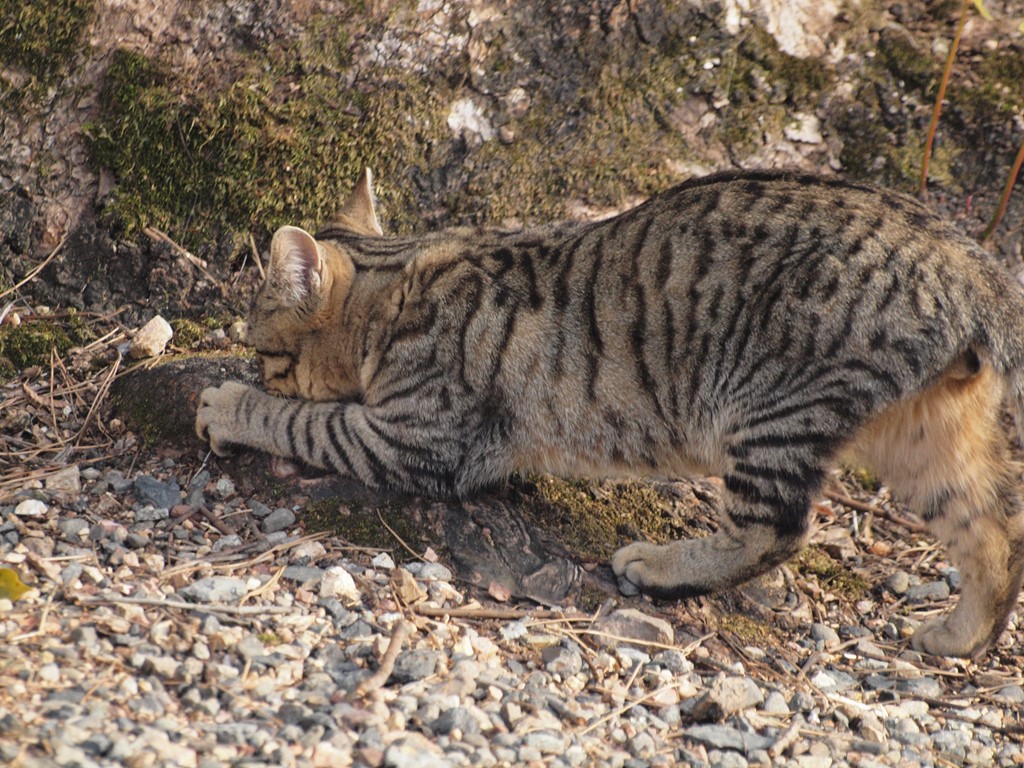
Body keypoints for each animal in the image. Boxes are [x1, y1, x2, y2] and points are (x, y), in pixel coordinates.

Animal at [197, 169, 1024, 663]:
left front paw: (230, 404)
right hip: (928, 440)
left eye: (262, 350)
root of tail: (972, 263)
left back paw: (661, 568)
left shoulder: (416, 440)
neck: (401, 280)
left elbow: (304, 420)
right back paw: (958, 636)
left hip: (771, 408)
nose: (248, 366)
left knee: (777, 529)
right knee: (996, 536)